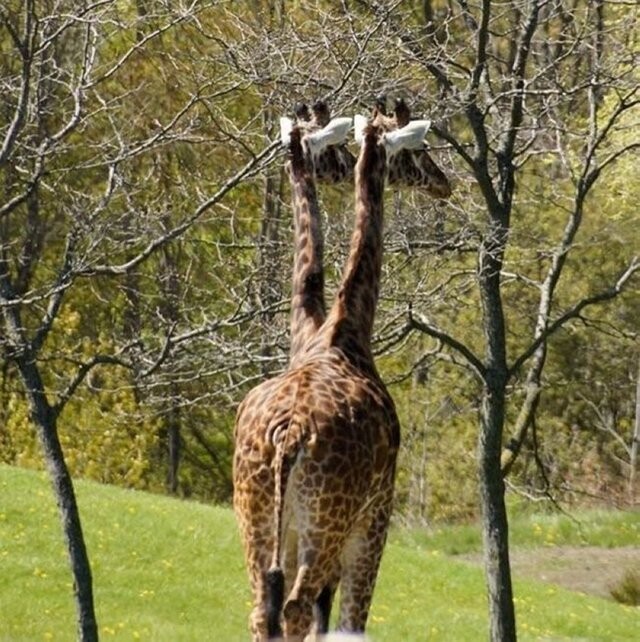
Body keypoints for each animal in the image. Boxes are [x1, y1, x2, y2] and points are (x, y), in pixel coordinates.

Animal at [232, 117, 398, 636]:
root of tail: (290, 434)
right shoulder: (375, 519)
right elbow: (352, 618)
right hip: (326, 524)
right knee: (298, 607)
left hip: (256, 513)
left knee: (263, 609)